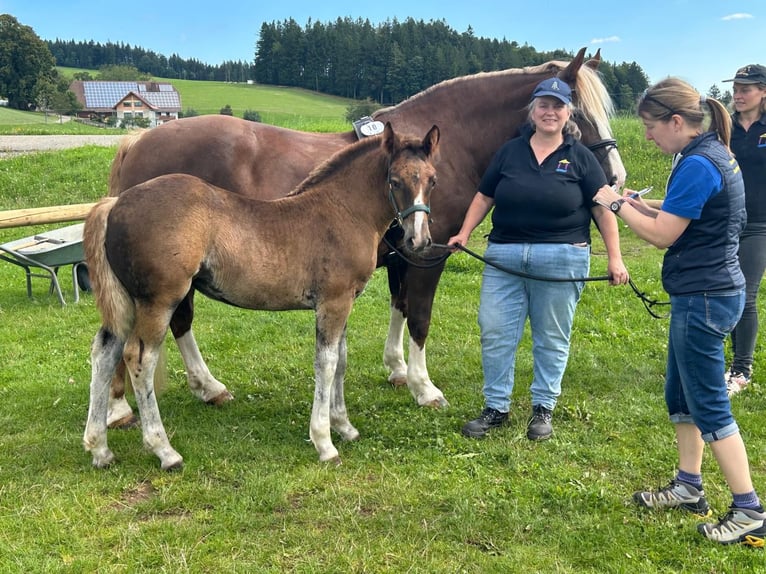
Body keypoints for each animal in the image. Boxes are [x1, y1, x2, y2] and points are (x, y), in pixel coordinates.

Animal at [83, 123, 440, 469]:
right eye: (395, 181)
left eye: (433, 180)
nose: (418, 239)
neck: (342, 211)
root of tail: (115, 204)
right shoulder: (333, 302)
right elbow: (326, 364)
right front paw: (325, 442)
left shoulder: (344, 302)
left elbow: (341, 360)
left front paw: (344, 427)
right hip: (157, 301)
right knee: (138, 358)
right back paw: (165, 451)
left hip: (127, 302)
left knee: (105, 351)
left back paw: (100, 449)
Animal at [105, 47, 625, 428]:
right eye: (576, 116)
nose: (614, 179)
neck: (443, 151)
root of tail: (138, 142)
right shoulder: (427, 256)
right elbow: (420, 318)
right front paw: (424, 387)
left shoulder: (403, 254)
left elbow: (400, 308)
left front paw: (397, 370)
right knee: (172, 324)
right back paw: (153, 400)